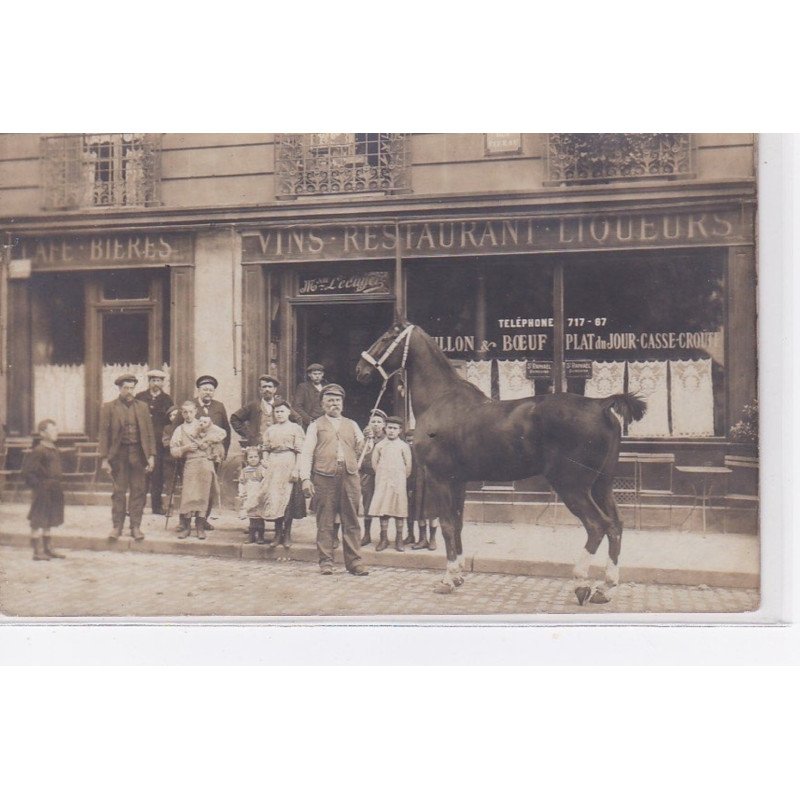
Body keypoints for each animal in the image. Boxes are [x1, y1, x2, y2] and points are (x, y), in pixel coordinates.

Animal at [360, 322, 648, 604]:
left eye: (386, 337)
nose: (360, 370)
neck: (440, 399)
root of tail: (601, 405)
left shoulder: (440, 479)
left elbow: (446, 525)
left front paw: (448, 579)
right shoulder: (458, 482)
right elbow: (458, 522)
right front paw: (458, 575)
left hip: (572, 486)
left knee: (598, 526)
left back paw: (580, 584)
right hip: (602, 485)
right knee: (616, 525)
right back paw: (606, 588)